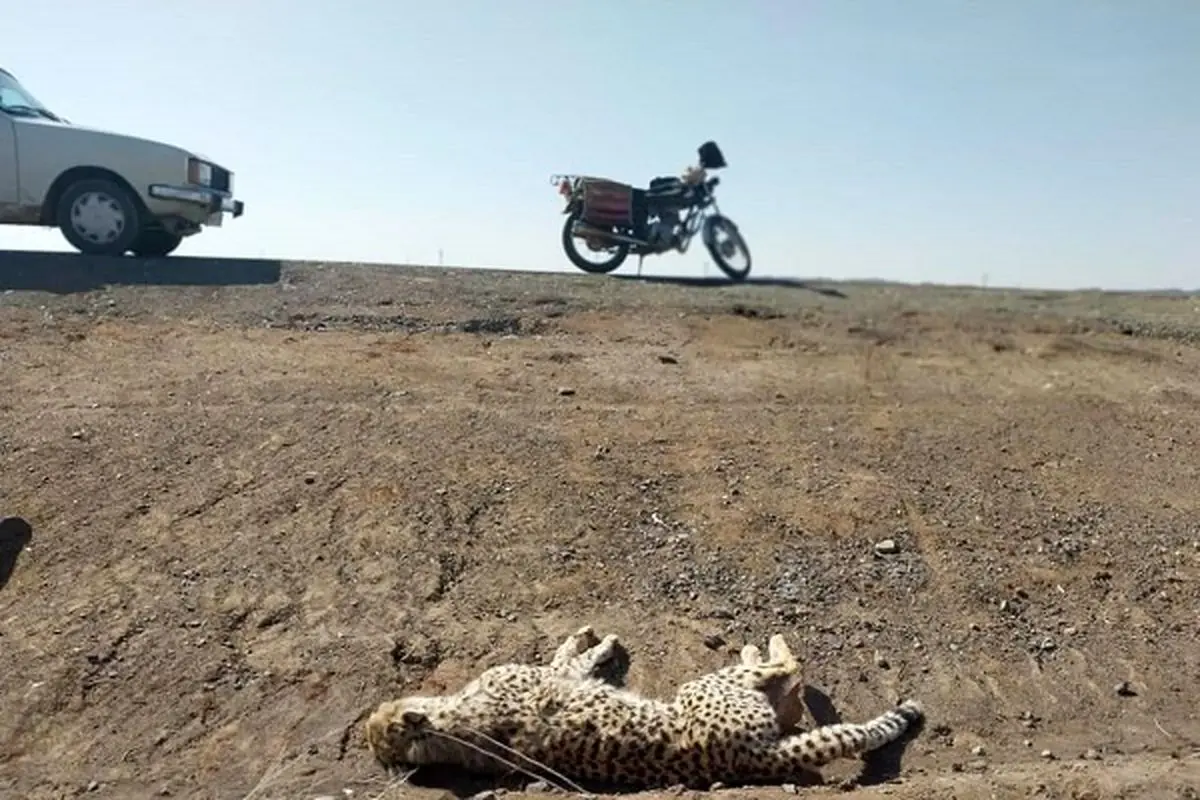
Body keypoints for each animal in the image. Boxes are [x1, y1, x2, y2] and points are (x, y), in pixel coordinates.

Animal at [360, 623, 921, 786]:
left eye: (378, 718)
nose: (372, 717)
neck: (452, 727)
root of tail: (747, 759)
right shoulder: (552, 678)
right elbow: (568, 658)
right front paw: (599, 642)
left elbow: (569, 656)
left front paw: (592, 639)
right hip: (703, 688)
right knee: (790, 666)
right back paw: (765, 647)